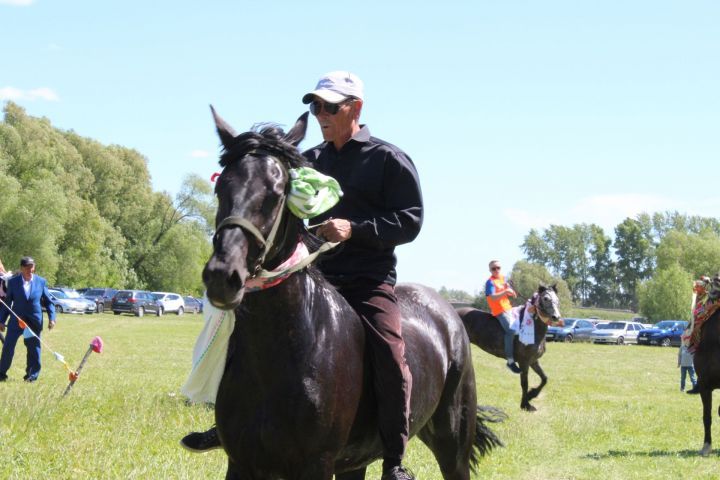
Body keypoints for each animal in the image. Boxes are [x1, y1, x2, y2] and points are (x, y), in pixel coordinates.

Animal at [202, 109, 504, 480]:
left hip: (452, 445)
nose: (222, 275)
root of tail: (448, 314)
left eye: (277, 191)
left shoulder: (315, 465)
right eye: (221, 187)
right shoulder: (242, 462)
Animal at [456, 284, 564, 412]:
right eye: (545, 298)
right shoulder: (524, 362)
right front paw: (525, 404)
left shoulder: (533, 361)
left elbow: (544, 378)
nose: (556, 317)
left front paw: (531, 395)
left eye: (557, 299)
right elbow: (524, 383)